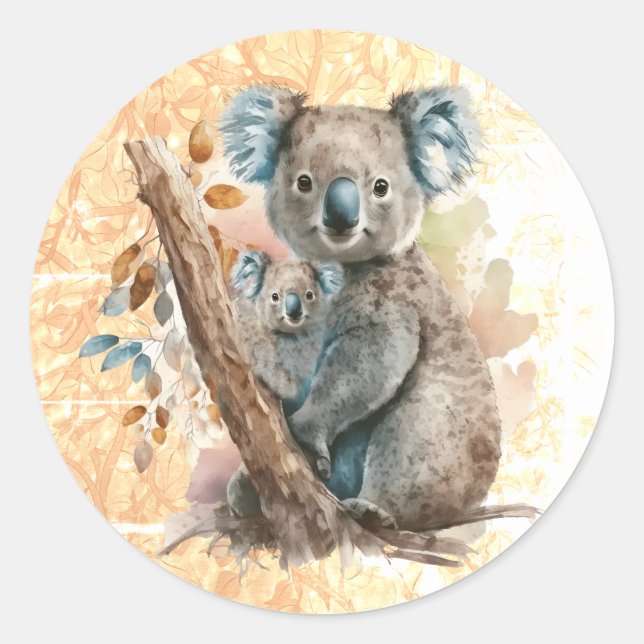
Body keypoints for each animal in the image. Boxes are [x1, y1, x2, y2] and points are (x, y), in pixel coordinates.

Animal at [219, 84, 502, 531]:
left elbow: (365, 363)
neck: (343, 268)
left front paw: (305, 429)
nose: (341, 216)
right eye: (304, 182)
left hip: (442, 439)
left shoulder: (392, 307)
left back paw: (374, 511)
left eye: (380, 187)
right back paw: (249, 492)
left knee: (412, 440)